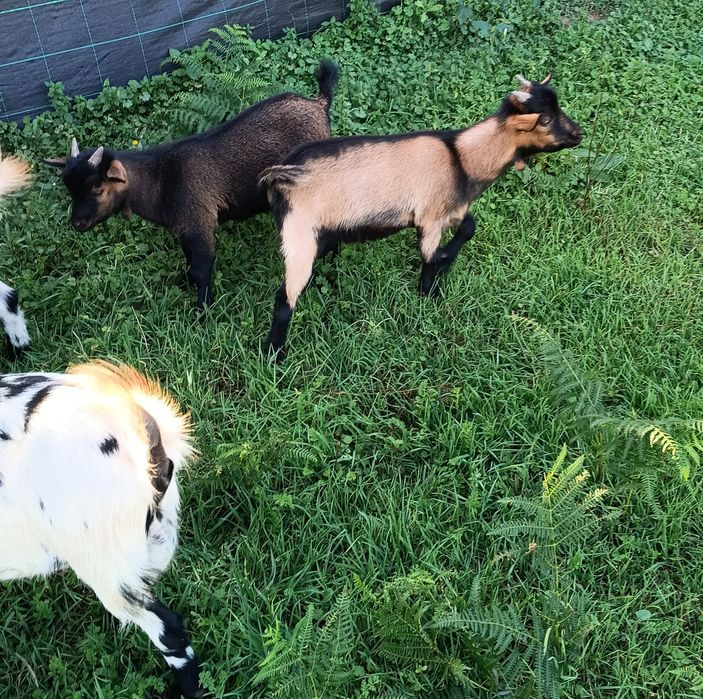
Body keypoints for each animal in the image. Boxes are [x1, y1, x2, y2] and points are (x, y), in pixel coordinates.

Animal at [44, 60, 340, 309]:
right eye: (69, 189)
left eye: (97, 189)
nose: (77, 223)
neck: (161, 180)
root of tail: (318, 104)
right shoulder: (182, 229)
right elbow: (190, 266)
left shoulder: (198, 223)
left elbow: (201, 269)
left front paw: (202, 310)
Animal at [259, 75, 583, 359]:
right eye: (544, 120)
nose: (578, 134)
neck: (461, 159)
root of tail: (280, 175)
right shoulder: (430, 218)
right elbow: (428, 258)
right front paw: (429, 294)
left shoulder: (451, 210)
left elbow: (469, 227)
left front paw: (447, 261)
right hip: (299, 236)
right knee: (284, 299)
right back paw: (274, 354)